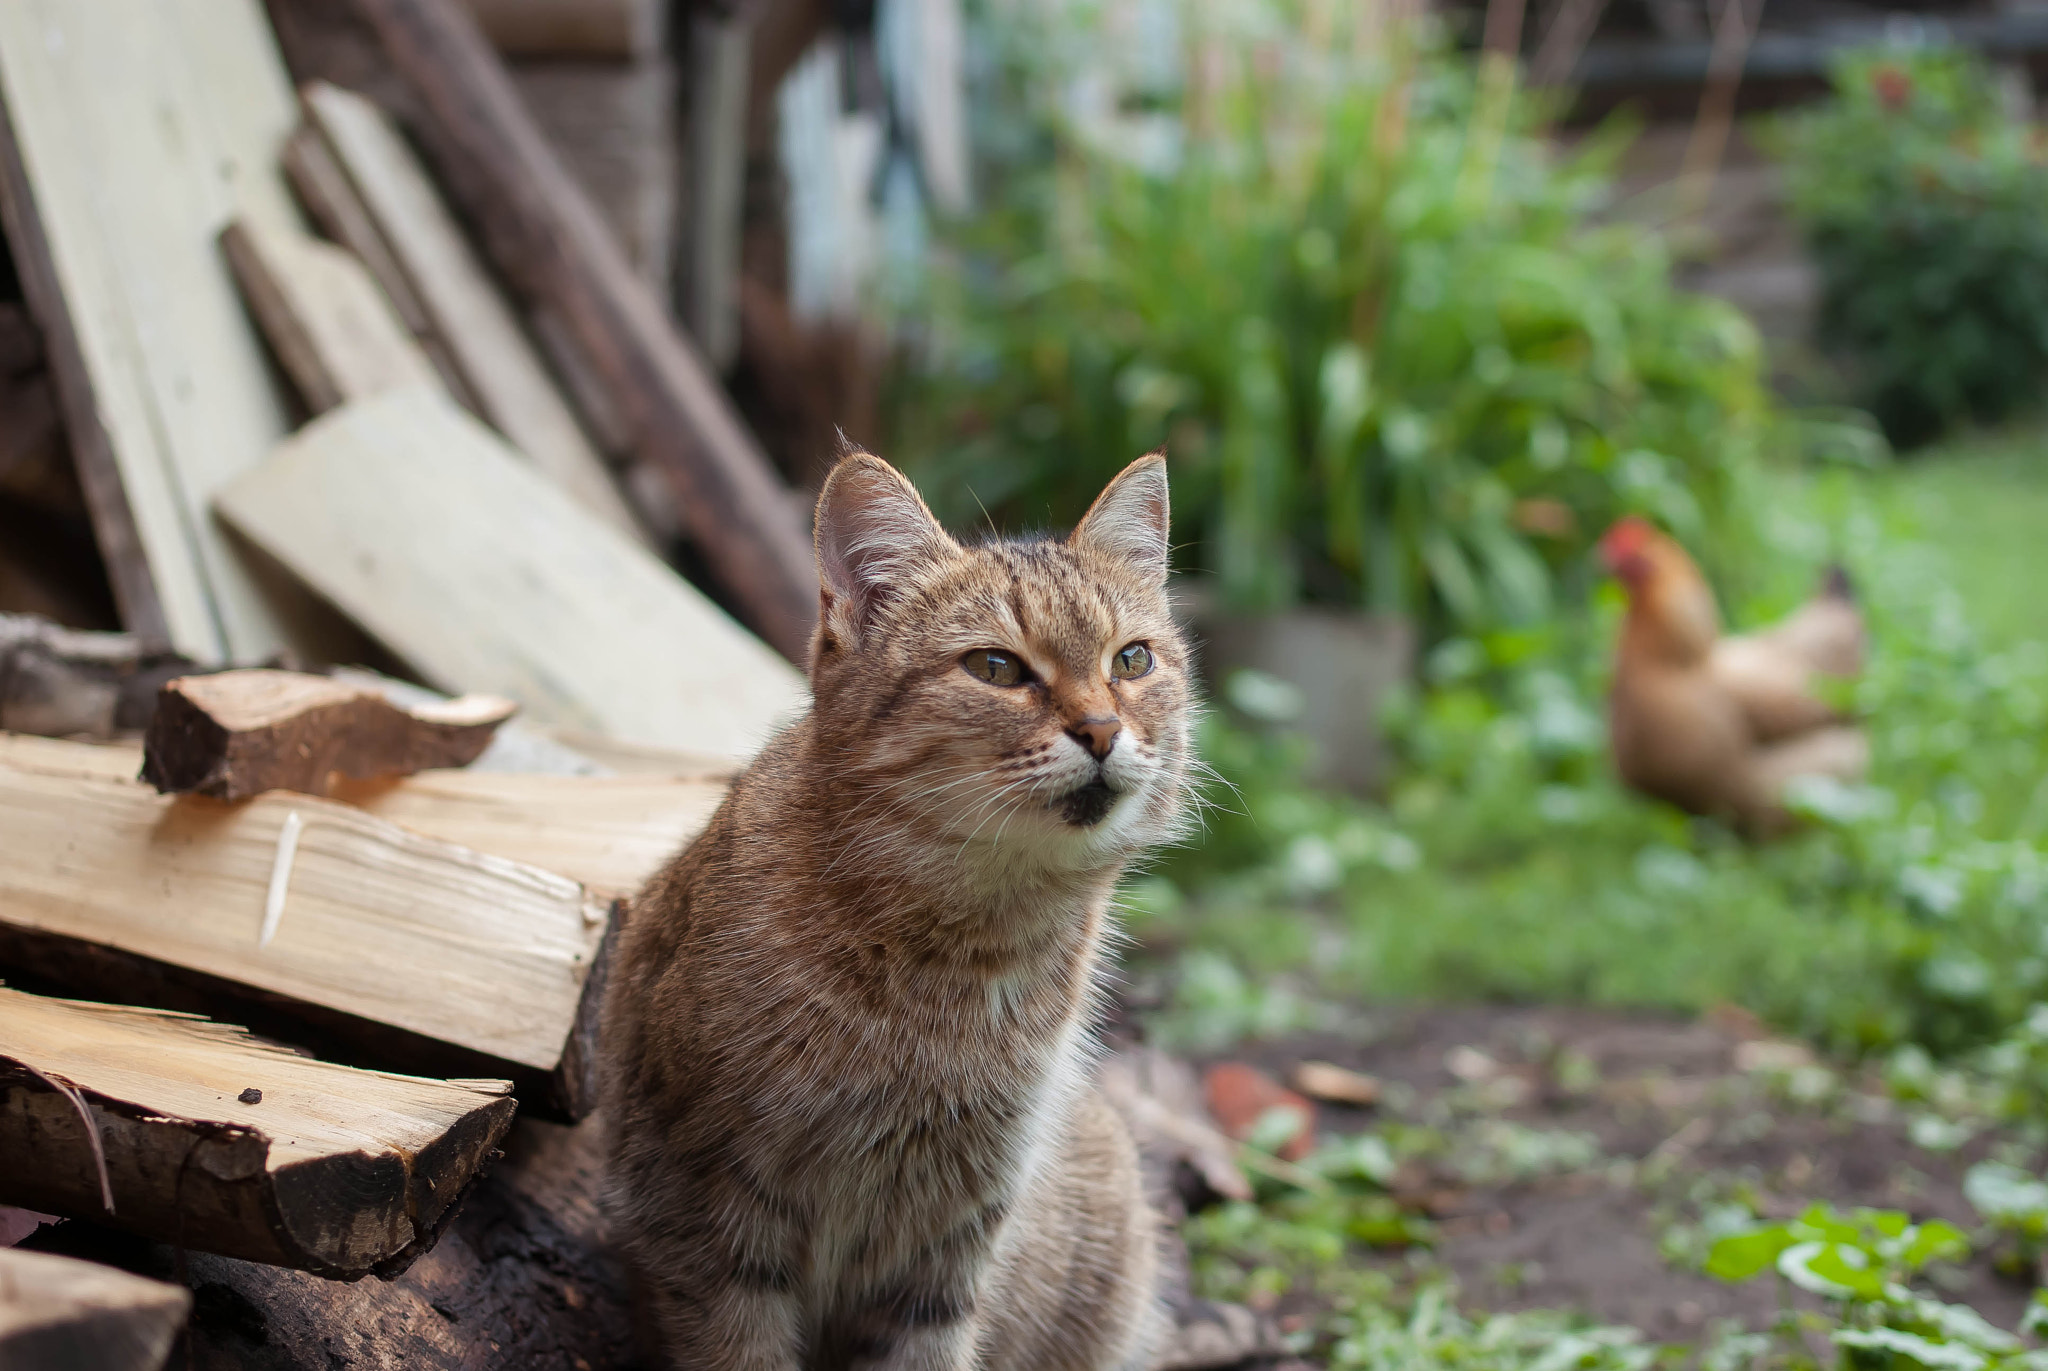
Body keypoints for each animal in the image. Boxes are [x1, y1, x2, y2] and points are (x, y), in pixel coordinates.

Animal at [598, 450, 1196, 1368]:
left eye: (1132, 660)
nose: (1101, 729)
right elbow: (741, 1346)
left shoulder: (955, 1236)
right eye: (996, 668)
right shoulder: (709, 1207)